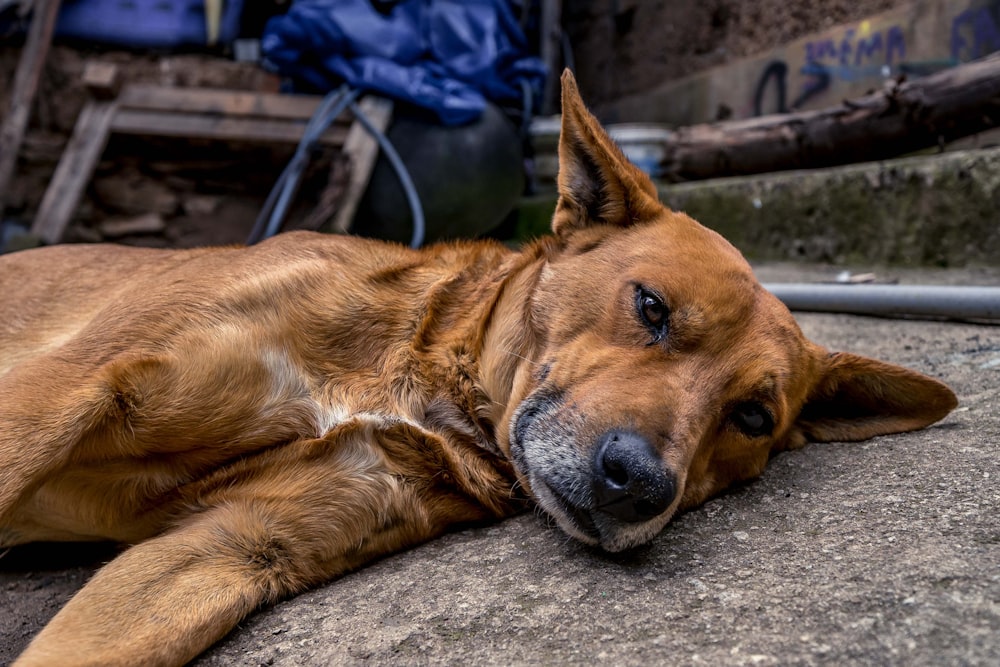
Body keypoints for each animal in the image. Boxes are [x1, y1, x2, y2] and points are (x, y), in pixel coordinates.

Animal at [0, 70, 952, 664]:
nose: (638, 484)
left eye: (752, 418)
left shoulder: (228, 548)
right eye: (652, 307)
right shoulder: (53, 396)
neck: (419, 381)